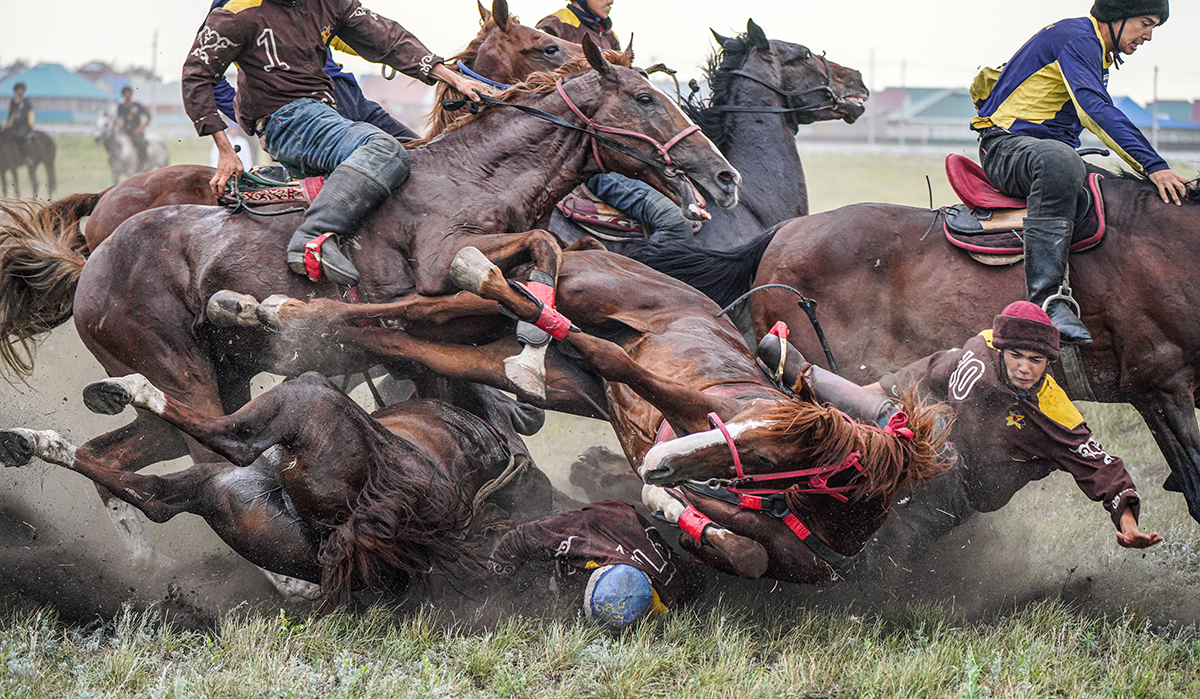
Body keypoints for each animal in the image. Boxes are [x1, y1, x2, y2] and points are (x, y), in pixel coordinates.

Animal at [0, 369, 549, 605]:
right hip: (226, 492)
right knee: (151, 494)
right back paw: (33, 441)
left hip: (290, 415)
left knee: (233, 441)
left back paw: (120, 389)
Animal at [206, 247, 950, 586]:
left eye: (772, 461)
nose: (667, 464)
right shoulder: (685, 404)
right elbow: (619, 361)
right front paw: (663, 489)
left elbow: (743, 550)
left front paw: (672, 504)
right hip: (580, 287)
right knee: (443, 304)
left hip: (523, 370)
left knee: (407, 339)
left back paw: (272, 313)